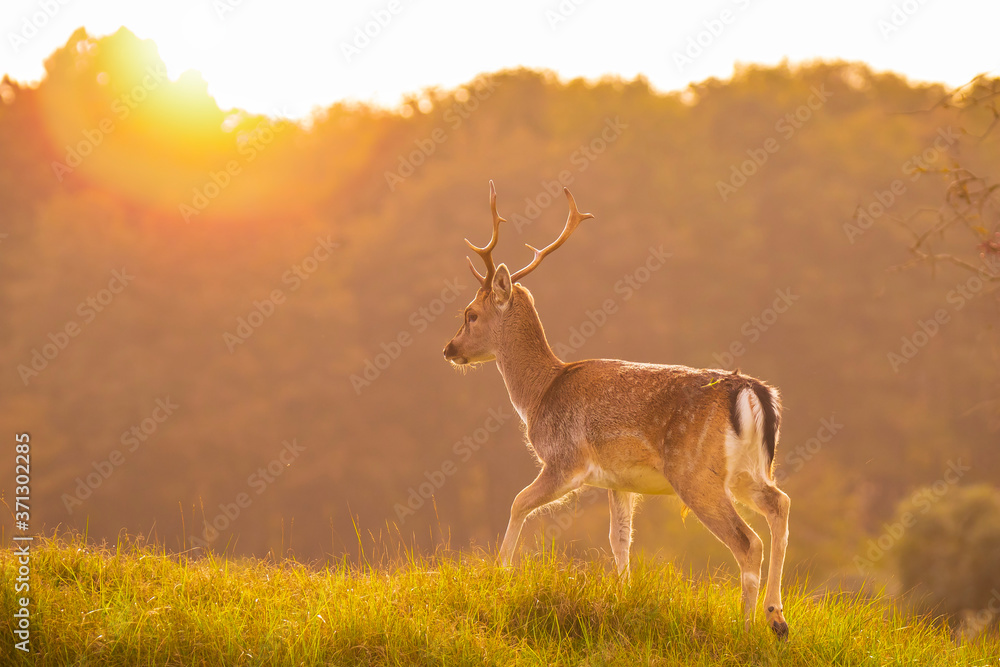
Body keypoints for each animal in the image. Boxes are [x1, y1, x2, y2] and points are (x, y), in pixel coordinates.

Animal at [442, 181, 791, 639]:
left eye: (470, 314)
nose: (449, 349)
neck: (538, 394)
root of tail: (752, 391)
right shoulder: (618, 481)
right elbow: (620, 539)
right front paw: (624, 597)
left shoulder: (565, 460)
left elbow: (518, 502)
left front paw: (500, 573)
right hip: (748, 471)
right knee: (780, 504)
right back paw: (777, 617)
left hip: (695, 473)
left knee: (748, 541)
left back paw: (747, 627)